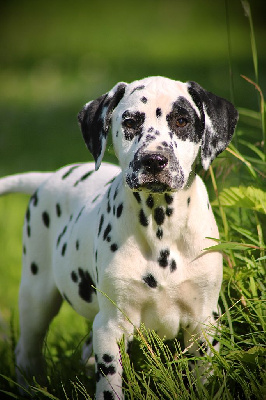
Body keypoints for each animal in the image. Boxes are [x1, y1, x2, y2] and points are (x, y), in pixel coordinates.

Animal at [0, 76, 237, 398]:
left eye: (181, 120)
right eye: (130, 121)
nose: (154, 160)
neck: (161, 226)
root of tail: (49, 178)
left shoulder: (204, 324)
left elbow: (204, 379)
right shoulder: (111, 326)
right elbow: (110, 383)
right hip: (36, 298)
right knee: (27, 353)